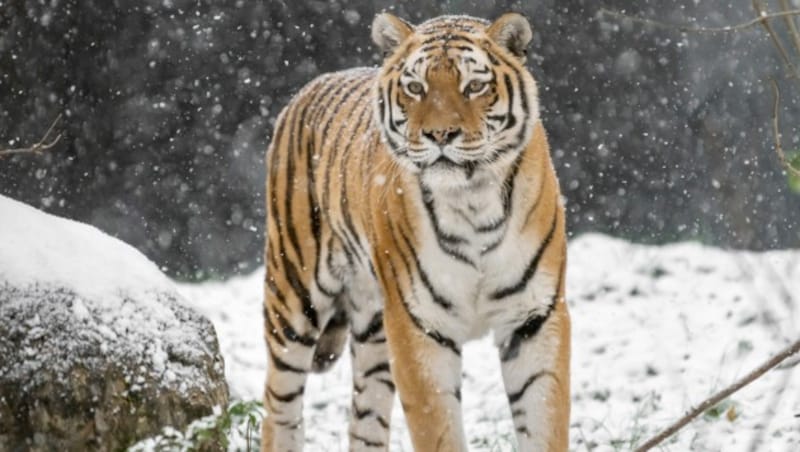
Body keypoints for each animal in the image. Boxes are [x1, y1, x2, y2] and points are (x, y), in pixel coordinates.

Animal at [262, 11, 568, 452]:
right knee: (279, 406)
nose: (440, 135)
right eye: (415, 87)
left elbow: (544, 419)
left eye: (474, 86)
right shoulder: (419, 325)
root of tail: (309, 88)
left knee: (364, 420)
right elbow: (437, 427)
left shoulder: (534, 317)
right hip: (293, 296)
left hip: (374, 328)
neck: (473, 201)